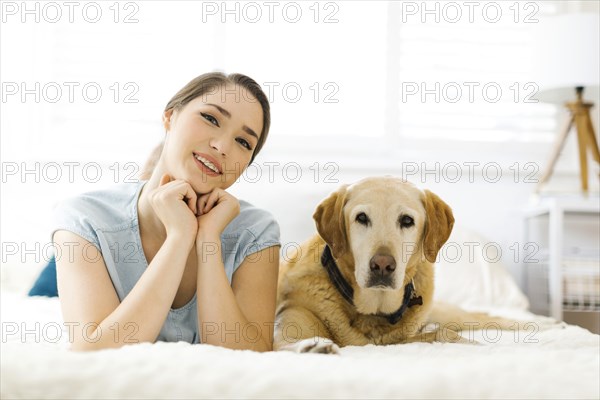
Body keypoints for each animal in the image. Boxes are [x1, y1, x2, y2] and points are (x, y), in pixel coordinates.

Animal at [276, 178, 520, 354]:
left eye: (407, 221)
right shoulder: (288, 322)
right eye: (361, 218)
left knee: (491, 320)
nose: (382, 265)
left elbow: (445, 334)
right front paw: (313, 345)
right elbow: (287, 341)